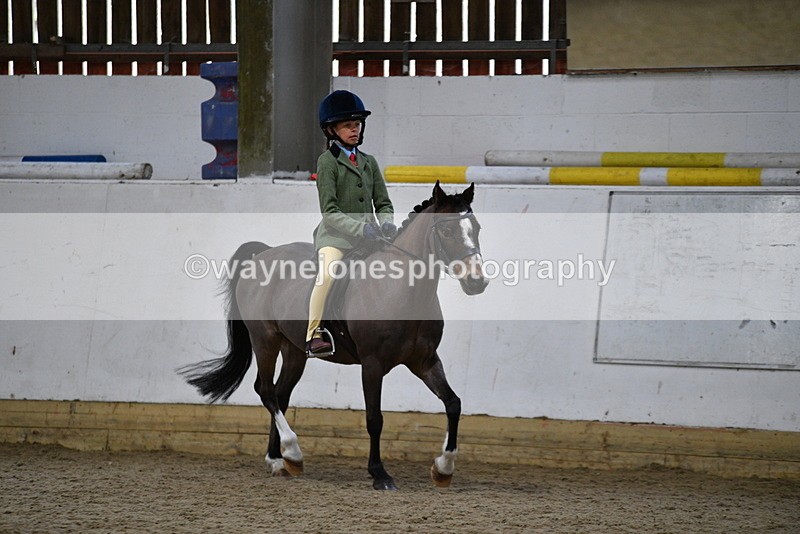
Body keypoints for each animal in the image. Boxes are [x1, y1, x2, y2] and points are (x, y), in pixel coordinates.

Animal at [179, 181, 488, 490]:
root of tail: (264, 254)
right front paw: (379, 473)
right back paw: (291, 452)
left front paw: (443, 468)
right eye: (446, 231)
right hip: (265, 340)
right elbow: (374, 418)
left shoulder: (424, 361)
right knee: (266, 390)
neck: (402, 290)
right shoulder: (372, 364)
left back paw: (278, 459)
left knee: (280, 395)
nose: (477, 281)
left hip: (294, 350)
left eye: (476, 228)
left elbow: (453, 404)